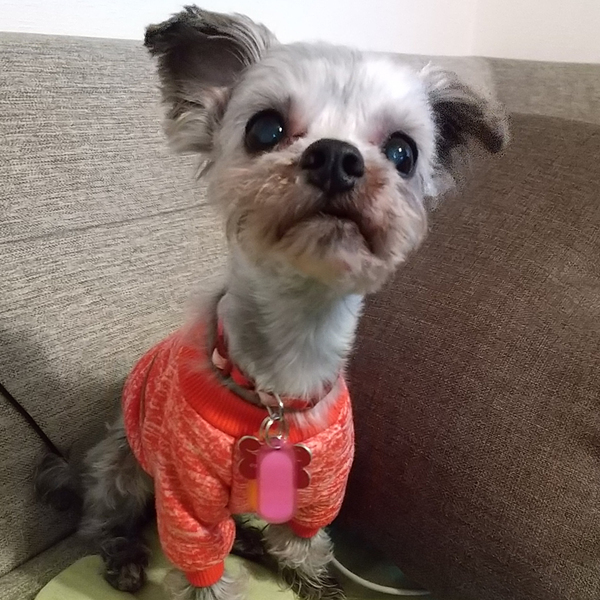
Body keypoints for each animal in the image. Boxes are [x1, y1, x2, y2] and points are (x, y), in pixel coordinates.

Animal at [35, 6, 507, 600]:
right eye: (265, 129)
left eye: (403, 151)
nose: (336, 157)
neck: (284, 374)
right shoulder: (185, 495)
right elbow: (202, 566)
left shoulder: (319, 487)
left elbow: (305, 542)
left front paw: (312, 580)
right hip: (121, 463)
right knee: (101, 519)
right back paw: (122, 554)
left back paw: (253, 544)